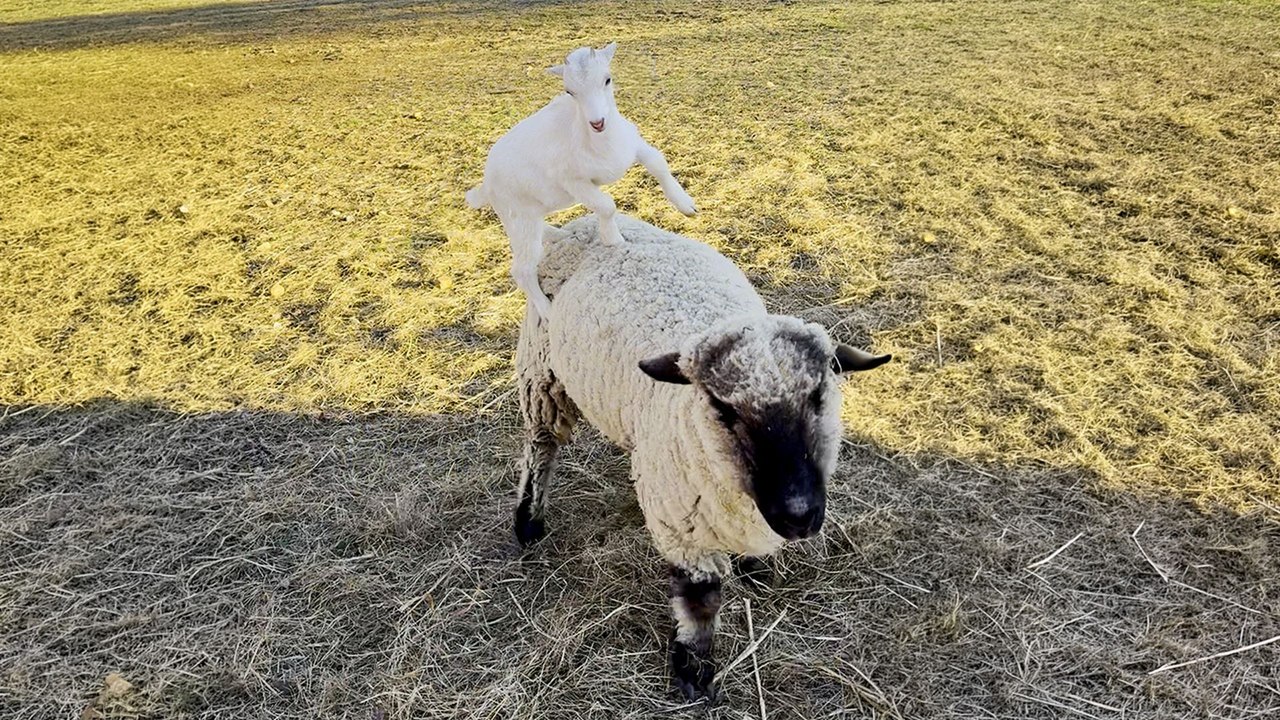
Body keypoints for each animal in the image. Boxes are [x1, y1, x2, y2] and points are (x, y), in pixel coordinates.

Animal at [465, 42, 698, 320]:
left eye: (607, 79)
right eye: (570, 91)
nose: (597, 122)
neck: (599, 141)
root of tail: (485, 186)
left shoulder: (632, 145)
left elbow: (657, 163)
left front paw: (686, 205)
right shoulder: (574, 181)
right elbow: (607, 205)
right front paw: (613, 240)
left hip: (526, 214)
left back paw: (560, 234)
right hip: (518, 215)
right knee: (522, 269)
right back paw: (546, 309)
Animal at [513, 213, 891, 700]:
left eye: (818, 395)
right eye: (723, 409)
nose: (798, 516)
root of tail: (577, 223)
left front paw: (754, 567)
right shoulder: (685, 532)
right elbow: (701, 601)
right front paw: (693, 671)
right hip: (542, 373)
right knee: (541, 447)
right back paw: (528, 522)